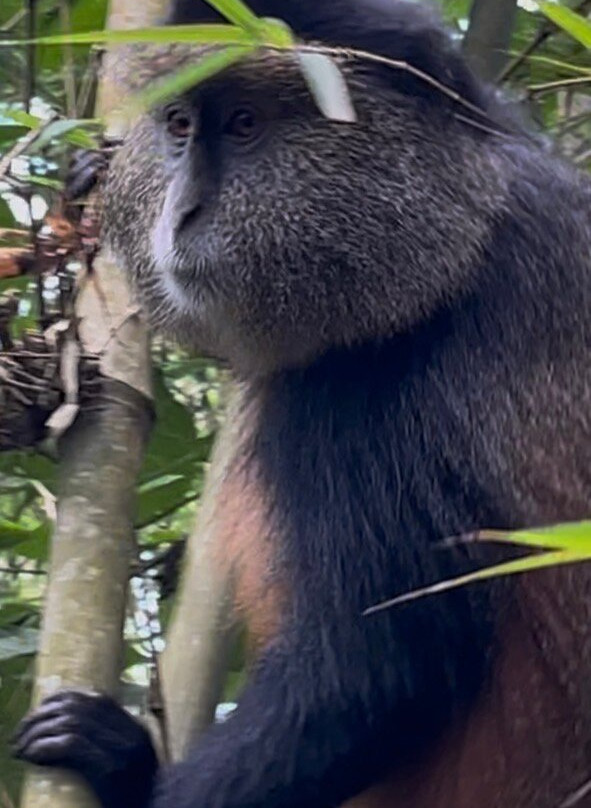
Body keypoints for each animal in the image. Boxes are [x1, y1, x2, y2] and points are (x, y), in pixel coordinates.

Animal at [13, 1, 591, 807]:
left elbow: (374, 672)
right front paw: (88, 175)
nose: (180, 213)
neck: (462, 230)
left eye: (245, 125)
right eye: (181, 126)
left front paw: (126, 770)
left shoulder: (366, 393)